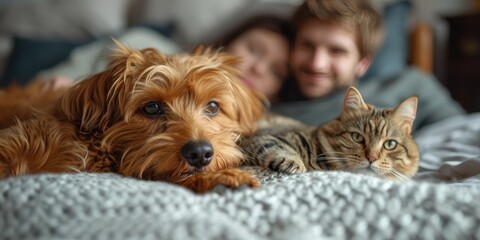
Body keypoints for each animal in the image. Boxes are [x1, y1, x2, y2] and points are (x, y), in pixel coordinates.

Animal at [242, 86, 418, 180]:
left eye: (390, 144)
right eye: (357, 137)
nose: (371, 158)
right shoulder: (267, 136)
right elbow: (280, 147)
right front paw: (294, 162)